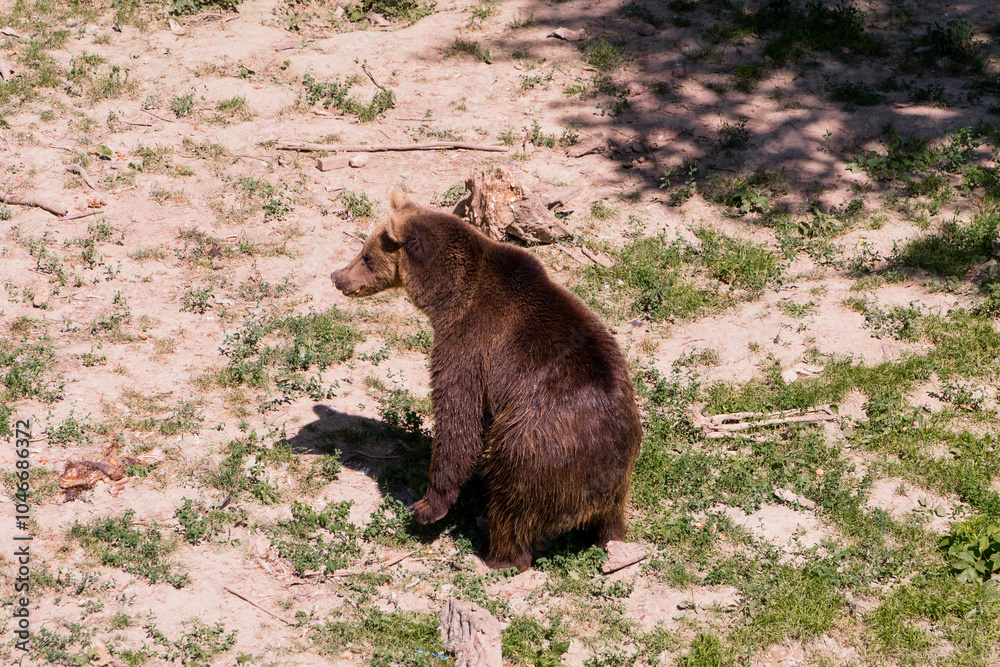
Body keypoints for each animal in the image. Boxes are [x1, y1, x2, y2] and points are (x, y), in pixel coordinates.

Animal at [331, 189, 642, 571]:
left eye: (367, 255)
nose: (337, 276)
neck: (446, 296)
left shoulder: (470, 343)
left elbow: (459, 419)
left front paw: (427, 506)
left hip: (537, 446)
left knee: (513, 497)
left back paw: (497, 552)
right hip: (620, 469)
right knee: (610, 517)